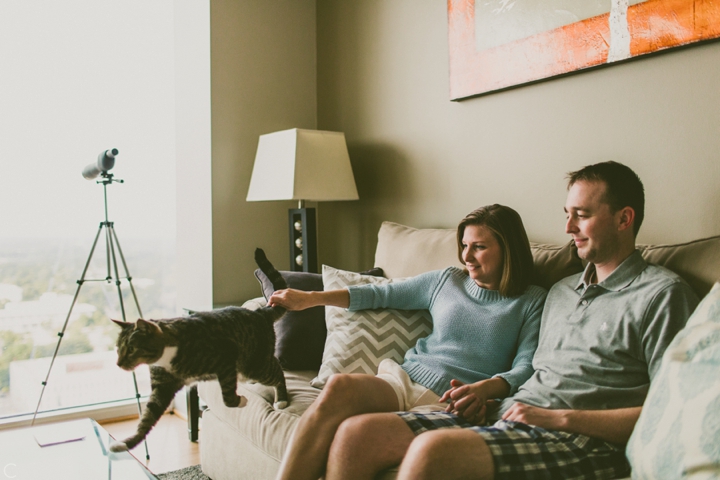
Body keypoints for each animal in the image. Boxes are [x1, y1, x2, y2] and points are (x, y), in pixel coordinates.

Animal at [109, 249, 286, 452]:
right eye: (118, 349)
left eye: (131, 349)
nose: (118, 363)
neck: (166, 357)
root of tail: (260, 312)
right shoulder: (162, 387)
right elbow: (147, 418)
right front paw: (126, 443)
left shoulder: (225, 359)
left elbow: (227, 397)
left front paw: (241, 400)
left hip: (254, 365)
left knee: (278, 370)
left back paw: (281, 400)